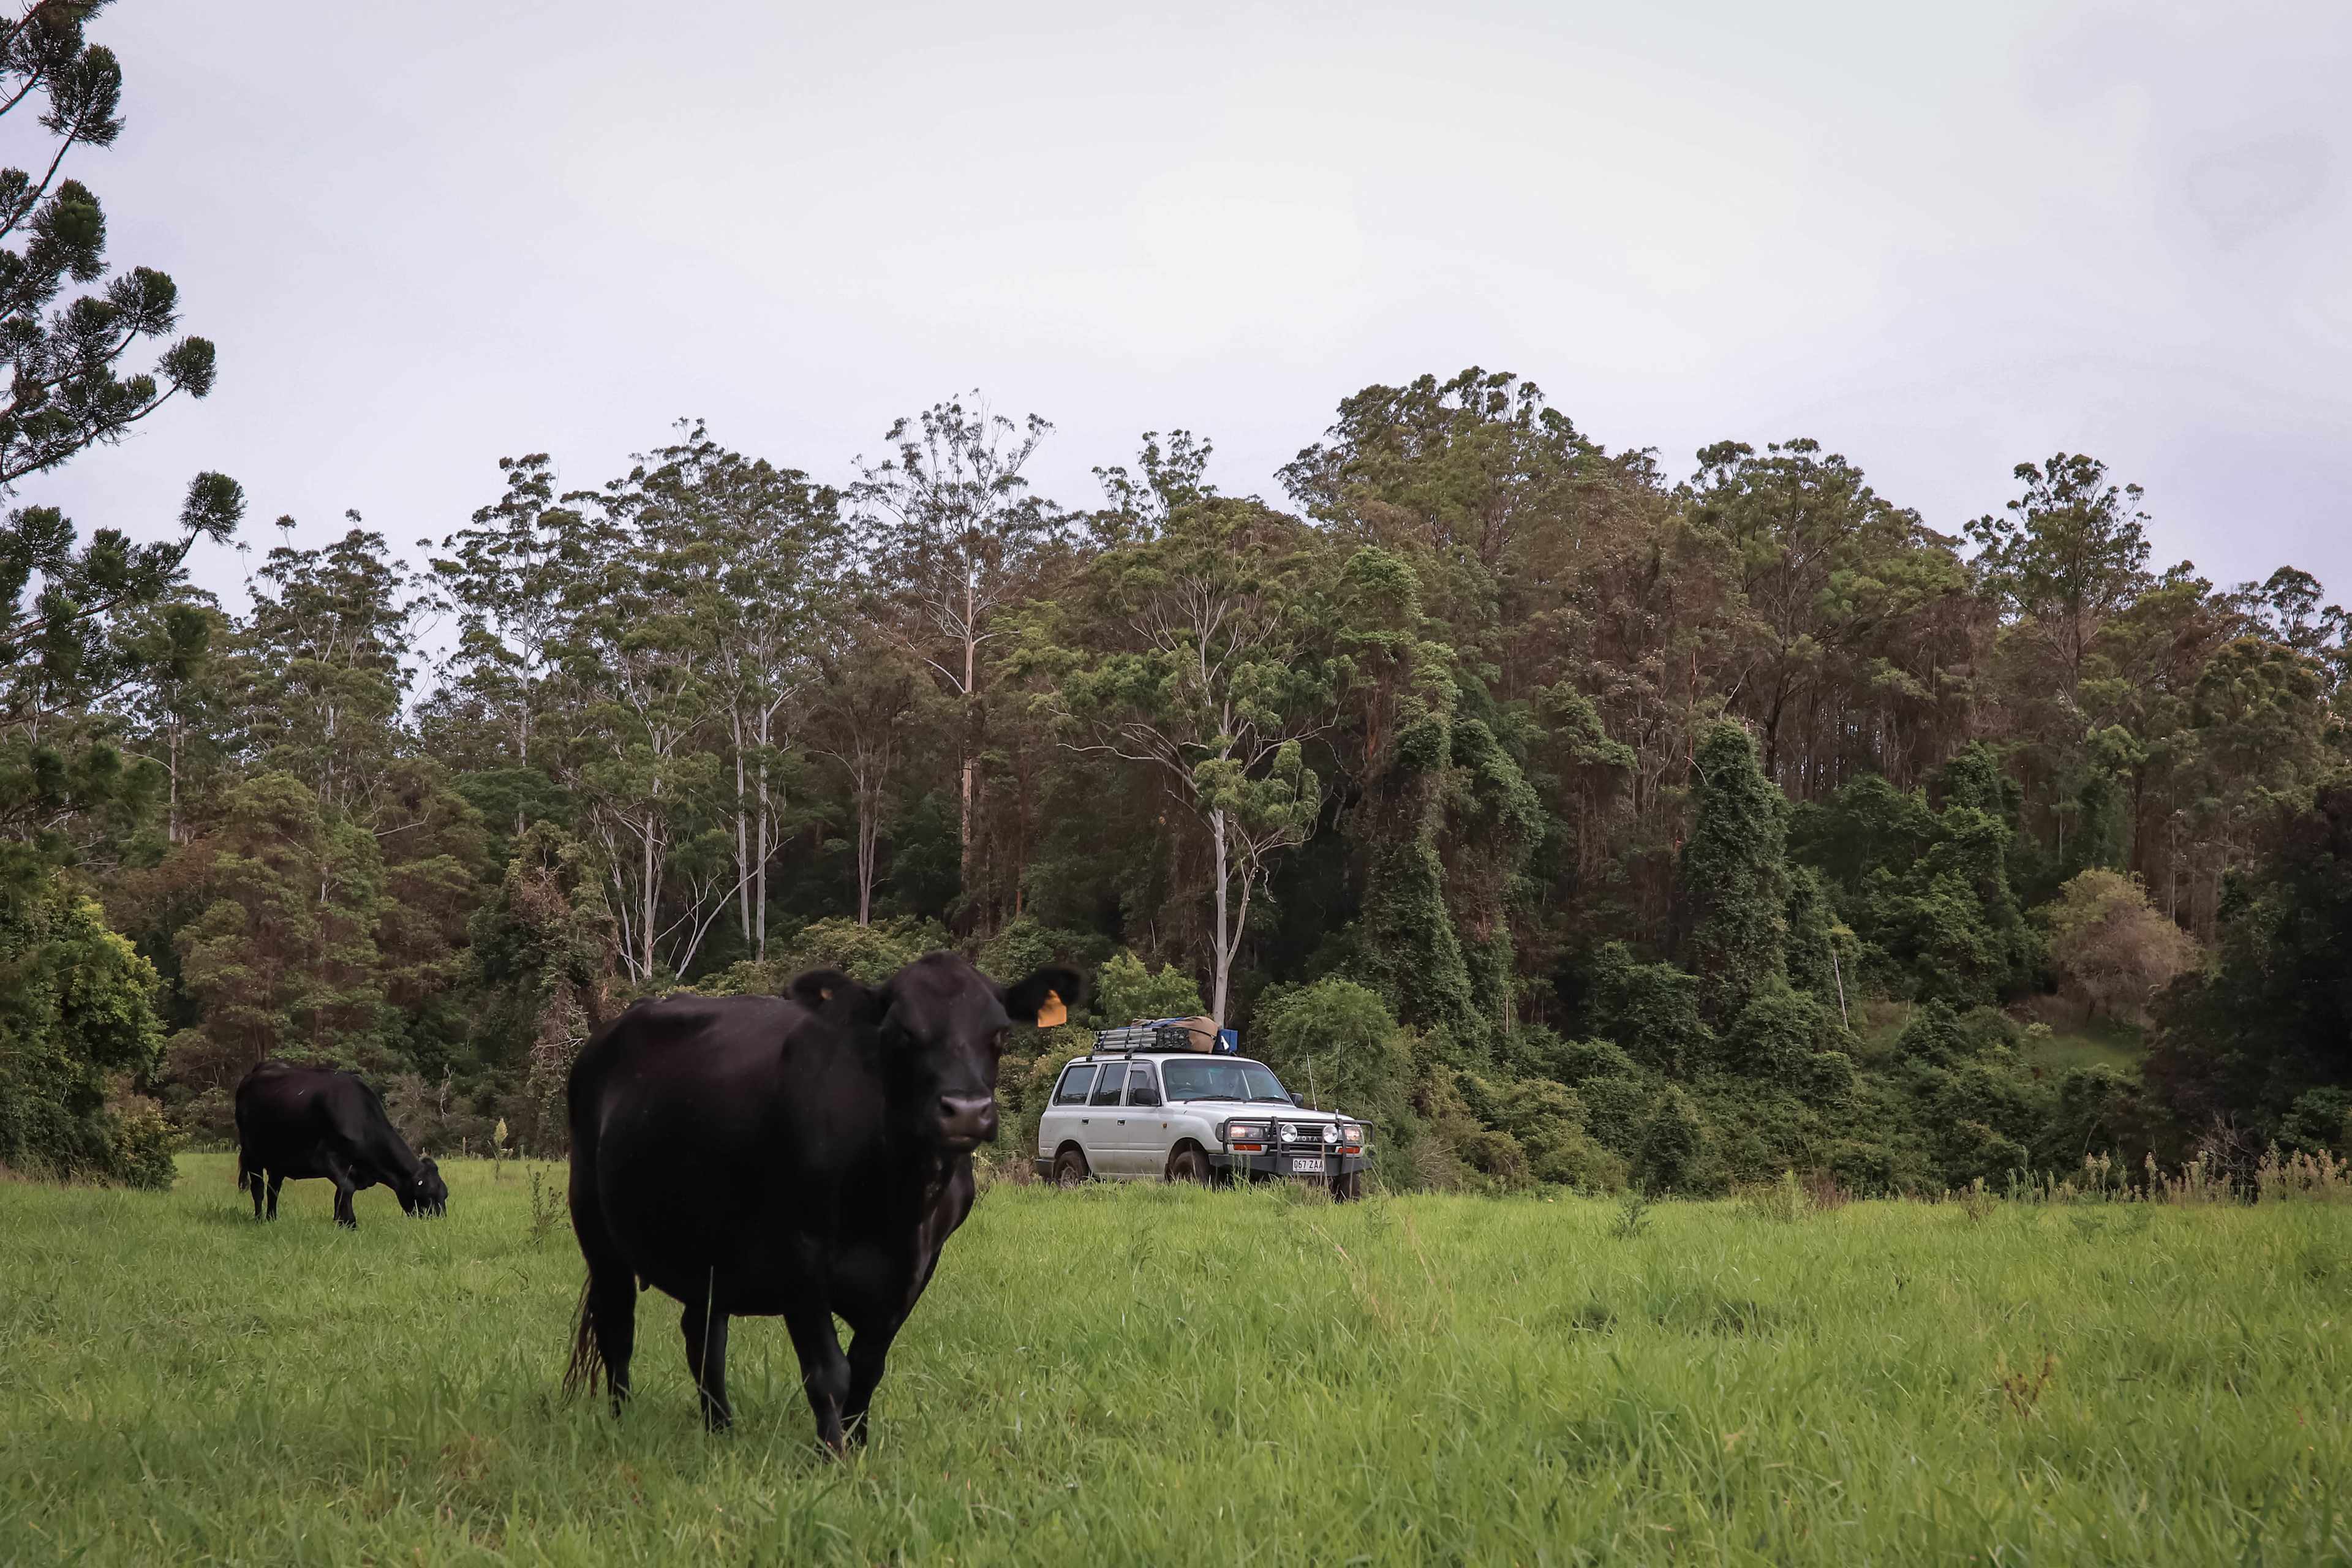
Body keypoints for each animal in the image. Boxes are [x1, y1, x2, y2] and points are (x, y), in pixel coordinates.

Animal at [232, 1061, 449, 1227]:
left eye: (445, 1195)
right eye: (429, 1195)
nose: (440, 1222)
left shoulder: (350, 1168)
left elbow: (341, 1194)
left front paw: (339, 1222)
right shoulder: (328, 1159)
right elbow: (347, 1189)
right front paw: (350, 1223)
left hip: (278, 1160)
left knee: (274, 1189)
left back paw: (272, 1219)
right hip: (252, 1153)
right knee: (258, 1189)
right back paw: (259, 1220)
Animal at [562, 952, 1080, 1449]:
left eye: (999, 1032)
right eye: (901, 1033)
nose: (967, 1111)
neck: (896, 1201)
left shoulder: (915, 1269)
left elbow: (867, 1369)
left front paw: (860, 1446)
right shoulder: (798, 1255)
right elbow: (830, 1373)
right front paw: (832, 1456)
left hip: (707, 1246)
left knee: (704, 1335)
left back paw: (720, 1428)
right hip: (596, 1229)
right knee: (618, 1328)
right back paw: (623, 1421)